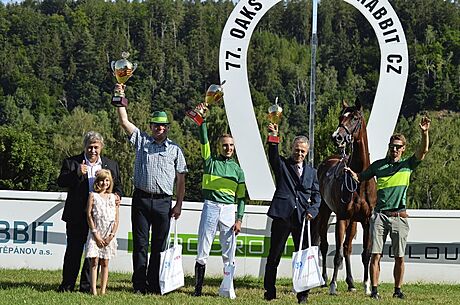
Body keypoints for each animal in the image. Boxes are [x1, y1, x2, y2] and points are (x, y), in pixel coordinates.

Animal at [312, 100, 378, 294]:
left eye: (355, 118)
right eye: (341, 117)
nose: (337, 137)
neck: (359, 180)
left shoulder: (365, 220)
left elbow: (365, 254)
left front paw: (367, 286)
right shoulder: (342, 217)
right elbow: (337, 254)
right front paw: (333, 286)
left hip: (353, 221)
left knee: (348, 248)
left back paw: (350, 283)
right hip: (325, 212)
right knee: (324, 245)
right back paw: (325, 280)